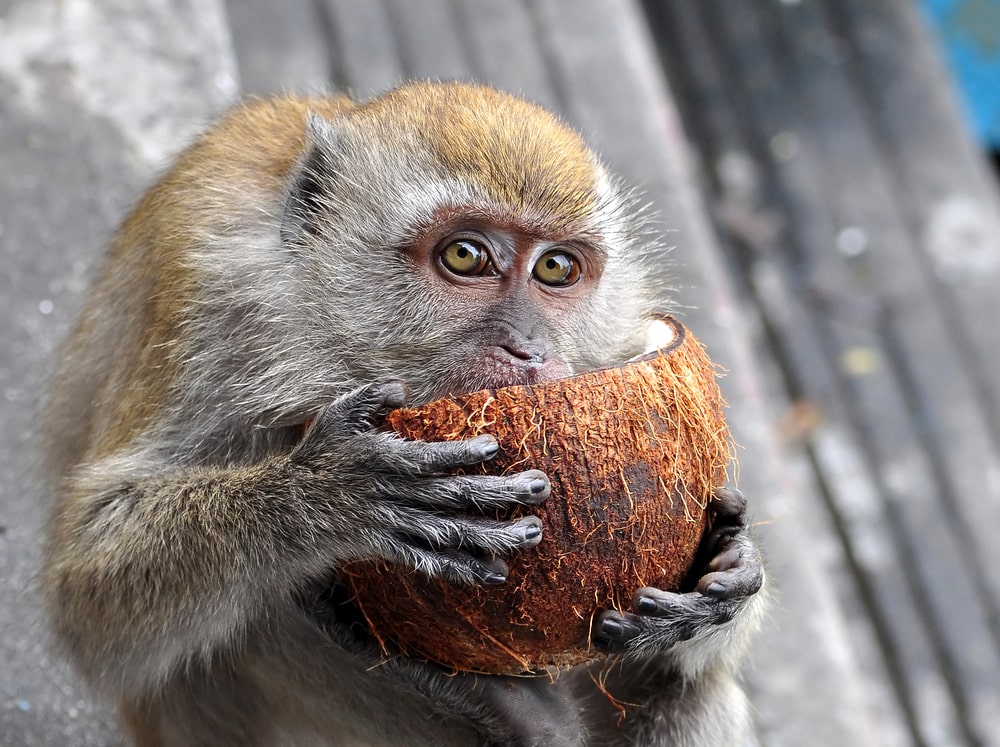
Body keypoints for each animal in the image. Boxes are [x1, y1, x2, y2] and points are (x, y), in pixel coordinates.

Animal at [41, 81, 766, 747]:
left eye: (556, 268)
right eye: (465, 255)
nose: (530, 350)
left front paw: (729, 570)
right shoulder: (211, 312)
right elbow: (88, 603)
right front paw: (327, 495)